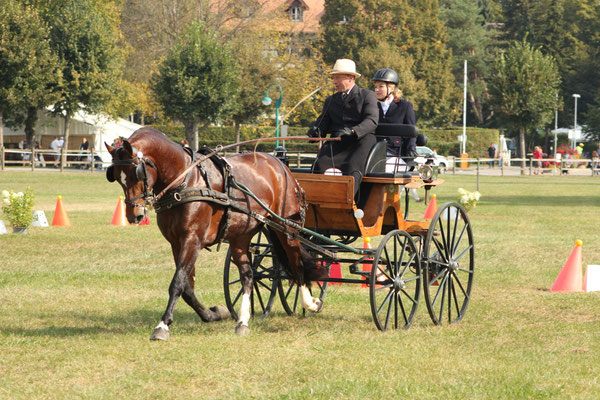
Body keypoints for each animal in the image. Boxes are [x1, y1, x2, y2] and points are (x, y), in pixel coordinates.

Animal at [105, 129, 326, 340]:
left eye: (137, 173)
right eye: (116, 176)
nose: (134, 215)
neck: (184, 181)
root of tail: (281, 165)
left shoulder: (192, 240)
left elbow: (177, 283)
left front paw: (162, 326)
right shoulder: (176, 243)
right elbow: (187, 288)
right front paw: (213, 314)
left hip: (286, 228)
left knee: (296, 264)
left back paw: (310, 303)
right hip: (241, 237)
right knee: (248, 275)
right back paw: (243, 321)